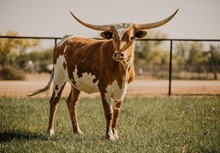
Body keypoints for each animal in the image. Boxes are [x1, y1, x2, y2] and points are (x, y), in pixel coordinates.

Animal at [27, 9, 179, 140]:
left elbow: (116, 113)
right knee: (54, 101)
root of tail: (66, 38)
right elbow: (109, 113)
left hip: (75, 82)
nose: (118, 54)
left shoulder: (123, 90)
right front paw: (109, 136)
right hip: (59, 78)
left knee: (71, 103)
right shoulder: (104, 88)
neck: (121, 69)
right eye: (113, 37)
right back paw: (50, 131)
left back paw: (77, 131)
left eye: (131, 37)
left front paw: (115, 134)